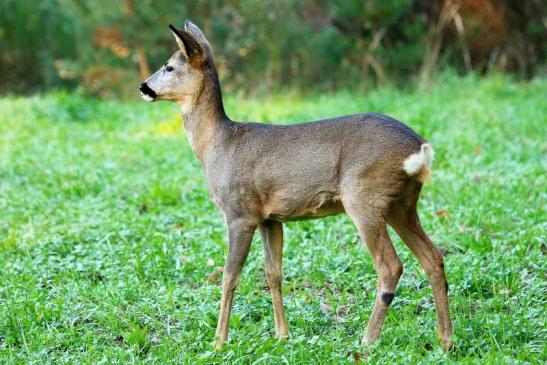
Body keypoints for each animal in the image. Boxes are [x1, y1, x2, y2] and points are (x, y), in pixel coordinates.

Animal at [140, 19, 454, 350]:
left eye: (169, 66)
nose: (143, 86)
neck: (216, 144)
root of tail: (420, 149)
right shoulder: (270, 217)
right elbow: (273, 273)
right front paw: (282, 334)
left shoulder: (240, 212)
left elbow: (229, 275)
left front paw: (219, 342)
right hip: (401, 204)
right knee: (433, 258)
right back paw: (445, 340)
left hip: (364, 197)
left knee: (391, 266)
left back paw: (368, 340)